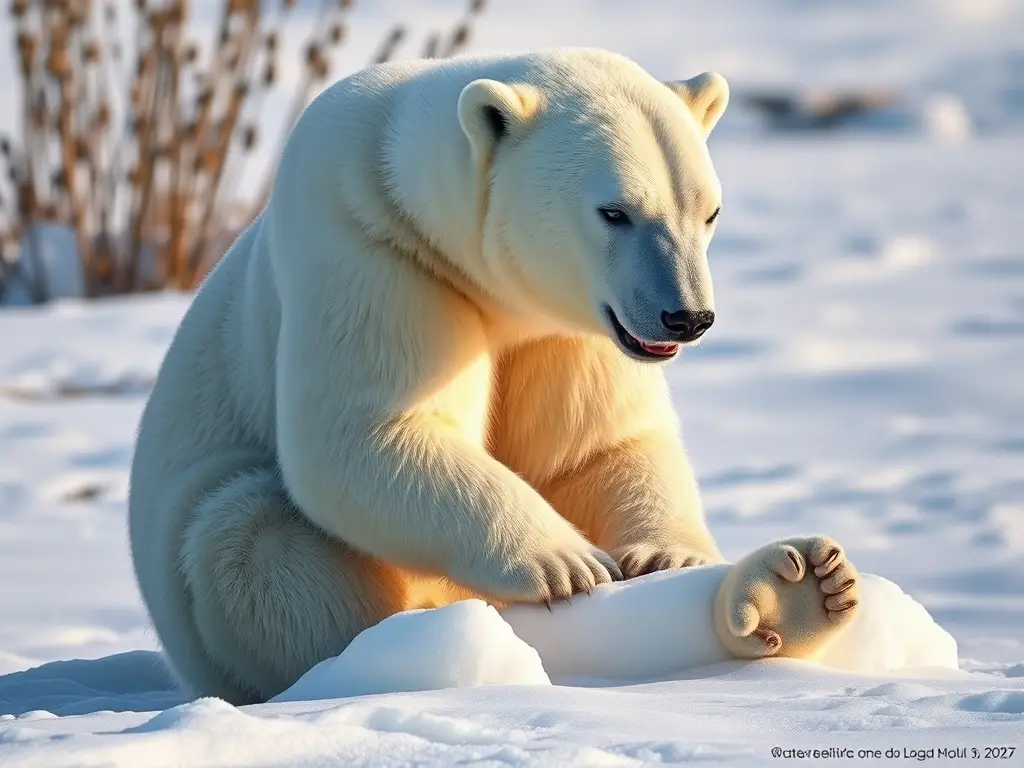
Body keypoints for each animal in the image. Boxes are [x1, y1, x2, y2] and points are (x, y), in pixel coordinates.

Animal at [128, 47, 860, 705]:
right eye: (615, 211)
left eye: (709, 212)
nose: (687, 316)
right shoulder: (368, 247)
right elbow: (370, 431)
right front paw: (567, 564)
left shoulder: (567, 331)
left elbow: (599, 447)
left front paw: (667, 556)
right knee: (251, 540)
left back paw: (795, 590)